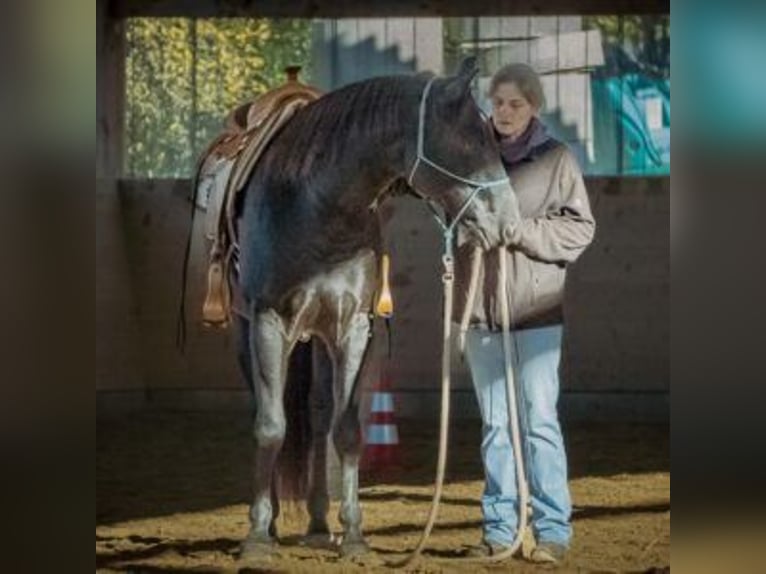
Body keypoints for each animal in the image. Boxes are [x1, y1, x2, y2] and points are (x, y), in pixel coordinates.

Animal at [234, 58, 520, 564]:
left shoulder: (353, 328)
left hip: (319, 342)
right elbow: (270, 427)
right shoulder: (267, 323)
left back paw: (318, 524)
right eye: (471, 143)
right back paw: (271, 525)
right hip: (246, 335)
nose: (510, 223)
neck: (315, 205)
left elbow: (346, 430)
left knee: (319, 417)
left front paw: (353, 536)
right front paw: (256, 538)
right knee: (271, 413)